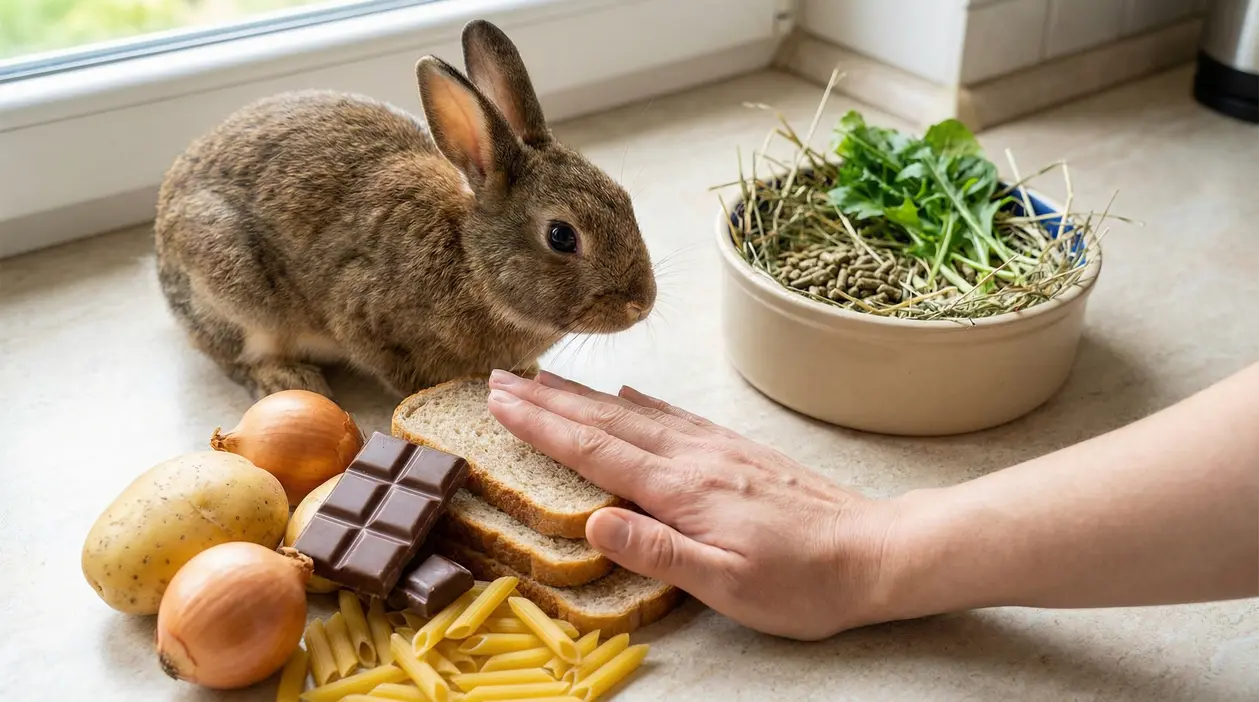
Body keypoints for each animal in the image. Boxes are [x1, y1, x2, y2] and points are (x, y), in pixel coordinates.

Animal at [154, 19, 656, 400]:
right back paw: (290, 379)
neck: (470, 261)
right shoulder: (363, 317)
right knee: (237, 356)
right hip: (235, 292)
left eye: (625, 200)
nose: (642, 303)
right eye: (562, 236)